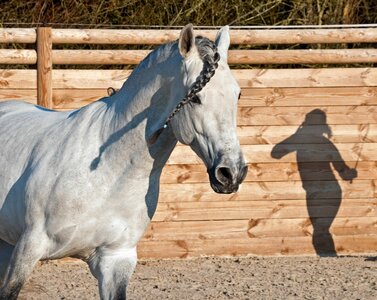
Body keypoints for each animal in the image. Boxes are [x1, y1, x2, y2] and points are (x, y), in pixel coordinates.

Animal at [0, 24, 247, 298]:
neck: (107, 173)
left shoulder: (116, 259)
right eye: (195, 97)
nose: (231, 173)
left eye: (237, 94)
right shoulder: (28, 248)